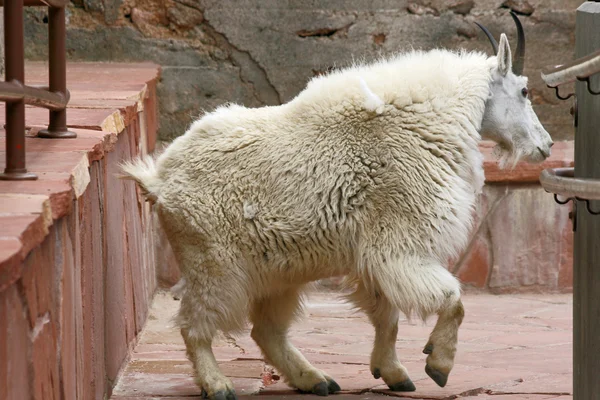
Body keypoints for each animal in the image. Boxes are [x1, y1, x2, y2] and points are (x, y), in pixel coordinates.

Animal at [122, 12, 552, 400]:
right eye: (524, 91)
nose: (545, 146)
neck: (430, 121)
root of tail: (158, 179)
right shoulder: (400, 243)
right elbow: (452, 300)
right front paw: (437, 364)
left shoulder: (376, 254)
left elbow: (387, 317)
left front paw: (394, 374)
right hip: (214, 261)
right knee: (196, 323)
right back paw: (218, 384)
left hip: (276, 270)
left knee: (266, 329)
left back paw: (316, 380)